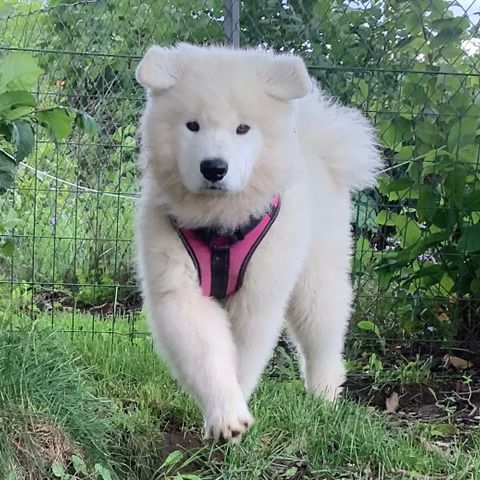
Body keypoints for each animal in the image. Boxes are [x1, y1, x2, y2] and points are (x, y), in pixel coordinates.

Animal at [135, 44, 382, 442]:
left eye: (242, 128)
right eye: (192, 125)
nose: (214, 168)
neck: (220, 226)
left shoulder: (258, 294)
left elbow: (244, 355)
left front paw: (235, 409)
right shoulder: (180, 292)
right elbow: (207, 353)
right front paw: (226, 416)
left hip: (316, 279)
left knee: (324, 337)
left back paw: (325, 396)